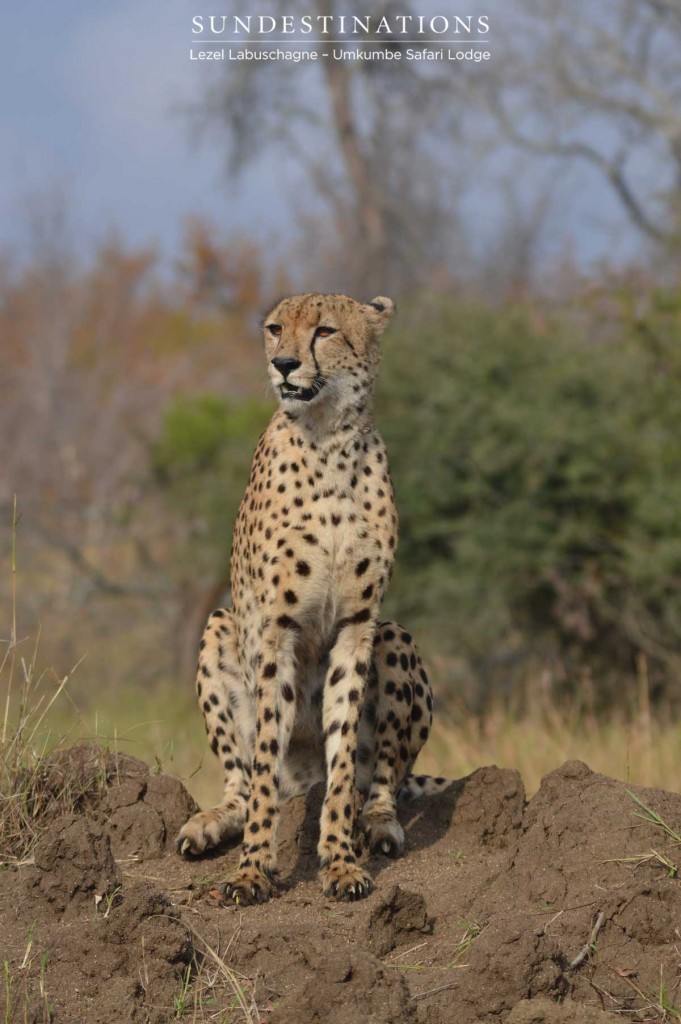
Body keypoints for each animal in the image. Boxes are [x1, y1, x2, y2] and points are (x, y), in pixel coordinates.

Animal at [178, 292, 448, 901]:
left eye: (324, 331)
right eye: (275, 329)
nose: (283, 364)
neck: (328, 439)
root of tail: (302, 779)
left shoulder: (357, 624)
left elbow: (344, 754)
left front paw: (340, 861)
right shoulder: (275, 628)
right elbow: (262, 759)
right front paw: (253, 869)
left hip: (393, 636)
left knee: (383, 778)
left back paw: (378, 824)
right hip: (219, 624)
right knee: (244, 779)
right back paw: (213, 822)